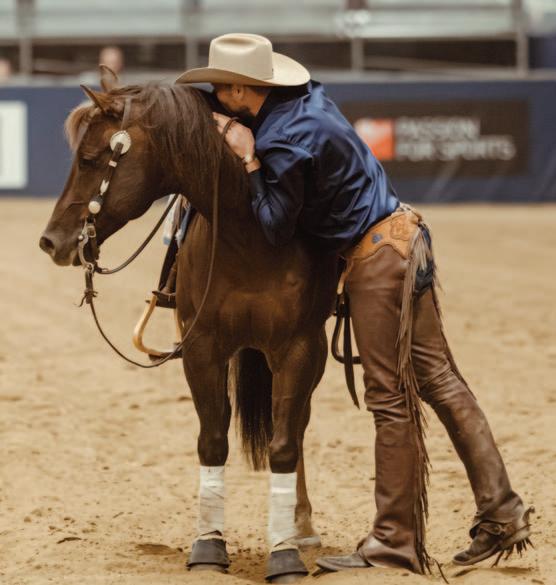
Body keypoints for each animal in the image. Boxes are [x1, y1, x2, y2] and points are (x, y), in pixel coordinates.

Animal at [39, 75, 337, 582]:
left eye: (91, 158)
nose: (50, 241)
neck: (252, 232)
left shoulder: (299, 349)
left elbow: (283, 445)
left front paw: (284, 553)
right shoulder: (202, 348)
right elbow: (212, 441)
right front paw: (208, 546)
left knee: (295, 430)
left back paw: (300, 527)